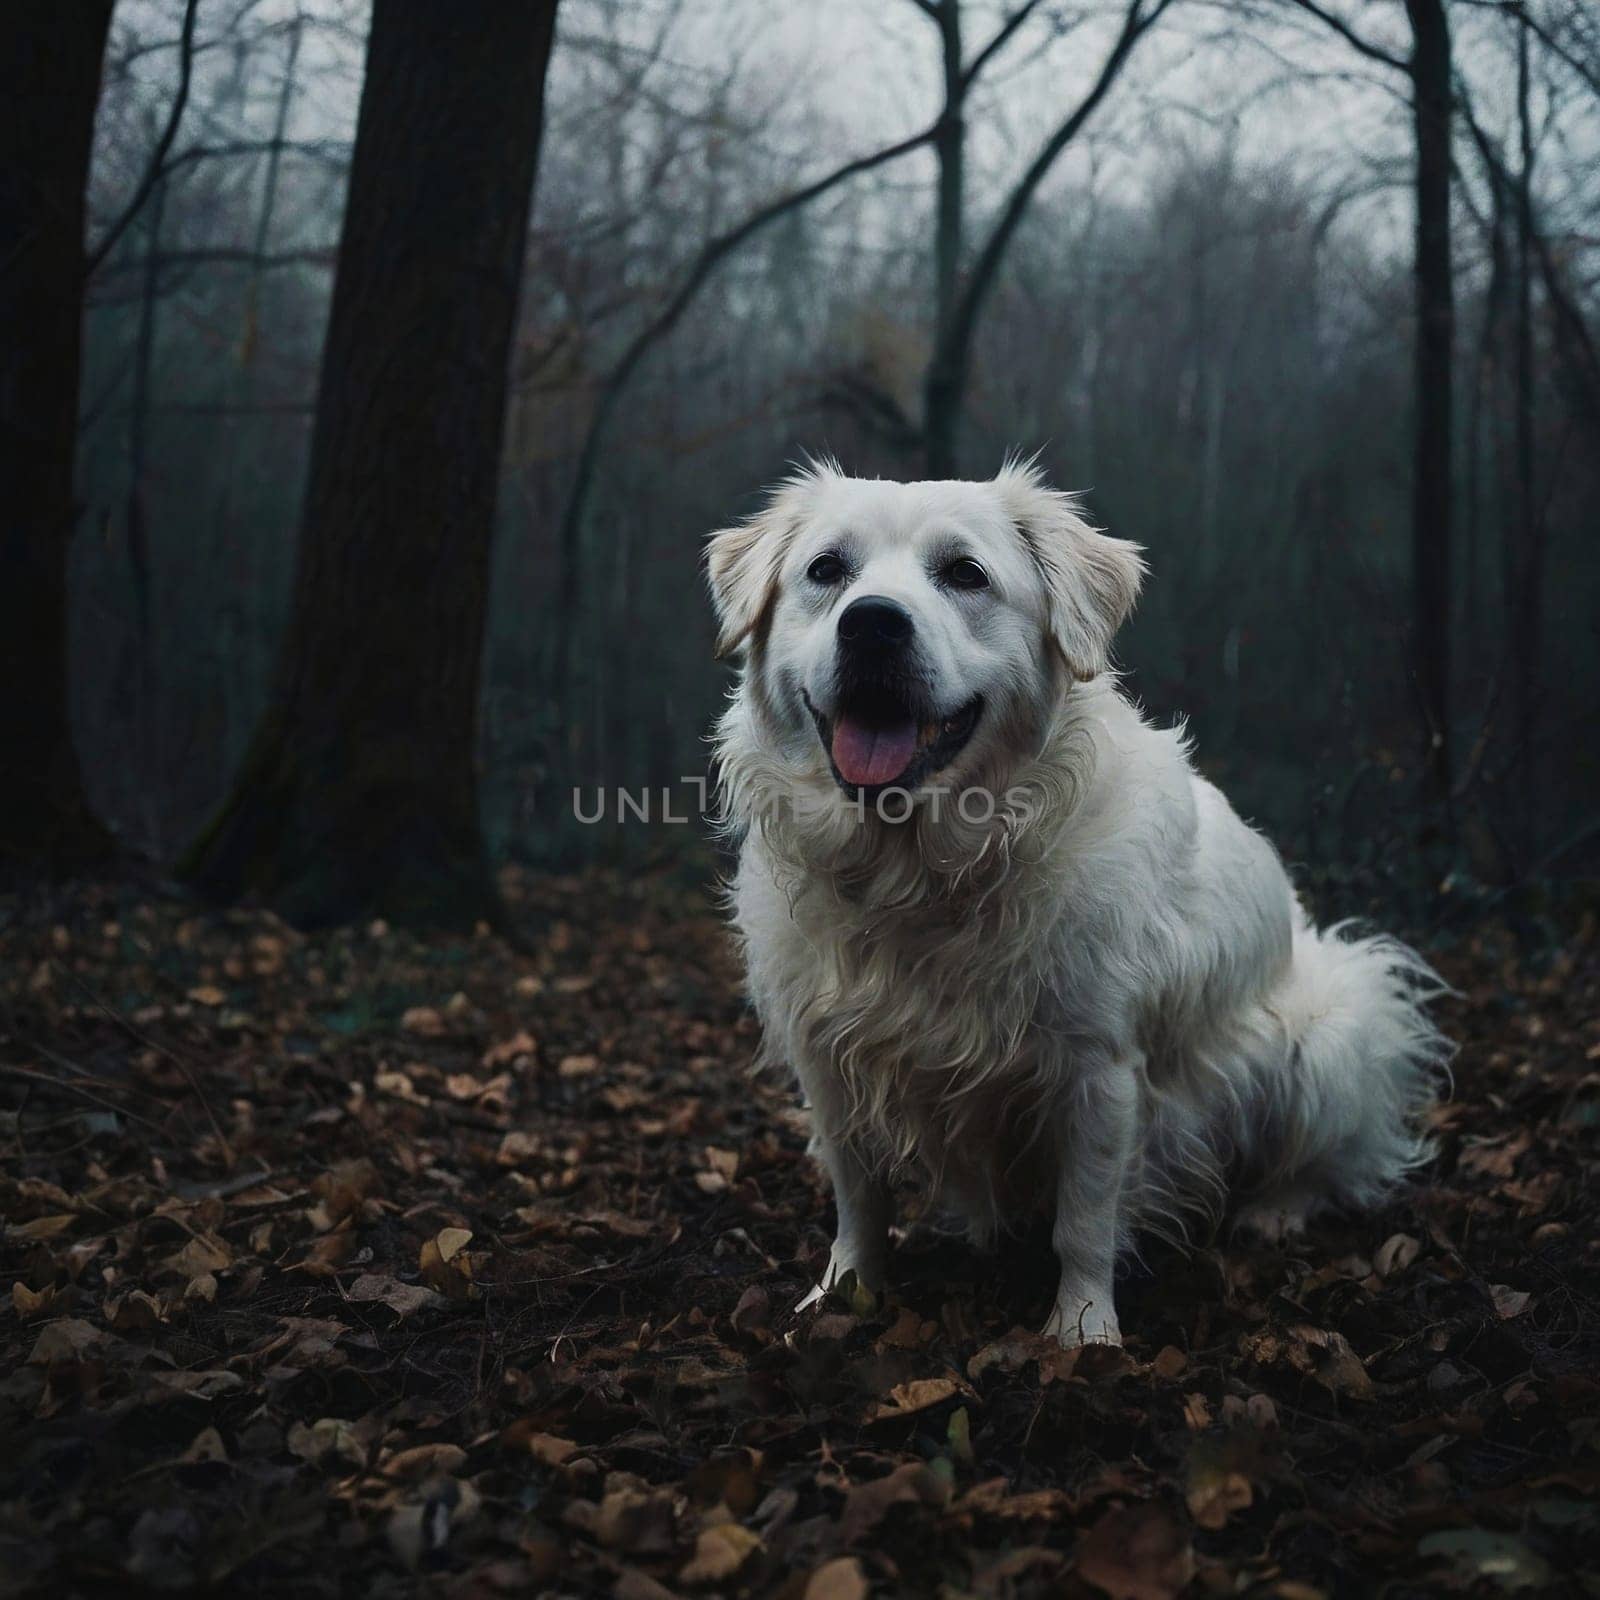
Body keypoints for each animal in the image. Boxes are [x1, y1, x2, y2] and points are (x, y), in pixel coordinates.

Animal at [710, 457, 1452, 1344]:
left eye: (964, 574)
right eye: (826, 571)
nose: (873, 625)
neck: (921, 869)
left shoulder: (1098, 1069)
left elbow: (1086, 1219)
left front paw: (1084, 1330)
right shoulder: (830, 1055)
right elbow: (858, 1199)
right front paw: (844, 1293)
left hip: (1331, 1029)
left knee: (1329, 1159)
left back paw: (1276, 1210)